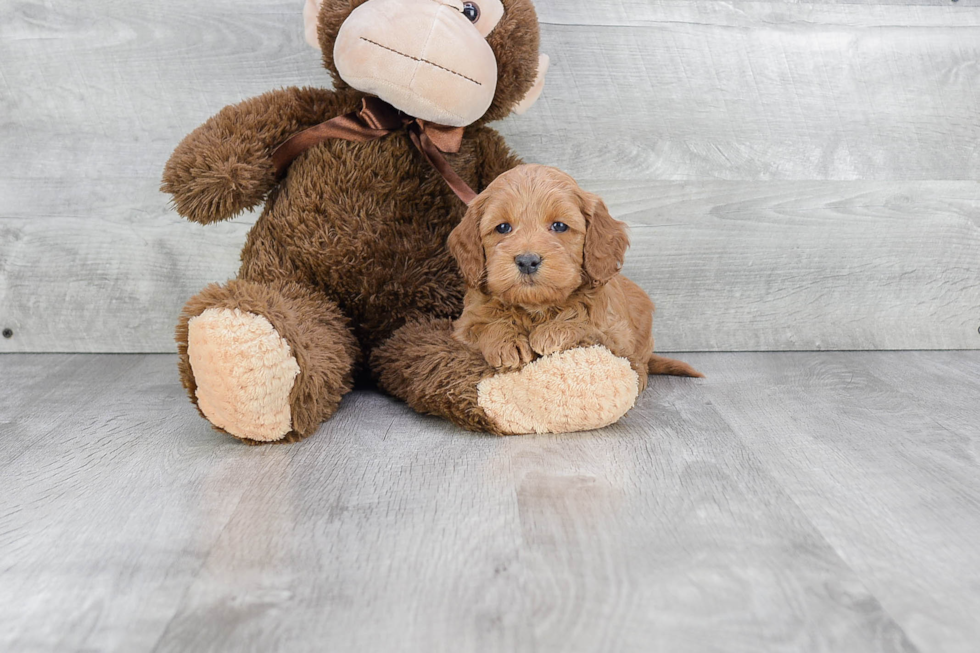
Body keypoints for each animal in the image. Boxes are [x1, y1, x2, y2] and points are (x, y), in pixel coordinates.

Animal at [448, 163, 700, 390]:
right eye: (502, 228)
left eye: (559, 226)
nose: (527, 261)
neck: (536, 308)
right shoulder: (463, 325)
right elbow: (481, 326)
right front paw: (506, 341)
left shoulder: (617, 335)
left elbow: (589, 326)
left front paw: (553, 331)